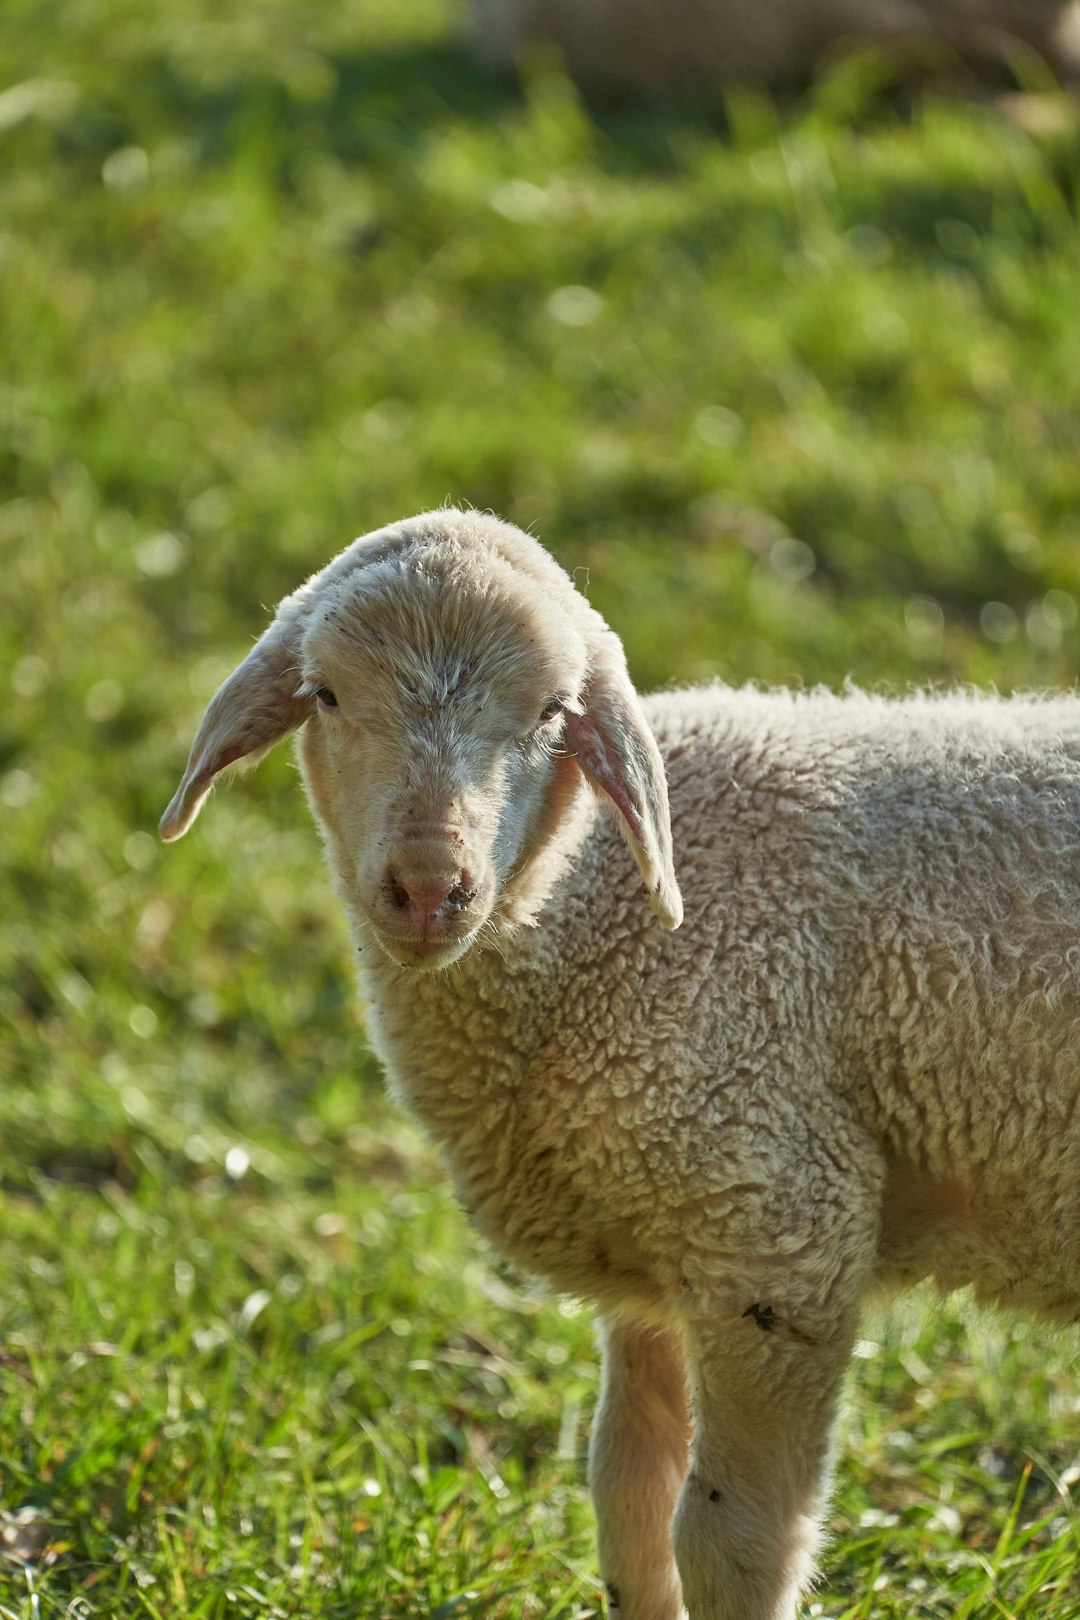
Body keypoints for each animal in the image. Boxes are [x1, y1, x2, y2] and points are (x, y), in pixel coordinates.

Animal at [158, 505, 1080, 1620]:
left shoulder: (777, 1233)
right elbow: (629, 1499)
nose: (428, 888)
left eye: (555, 711)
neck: (592, 912)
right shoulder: (650, 1255)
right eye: (327, 694)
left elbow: (728, 1539)